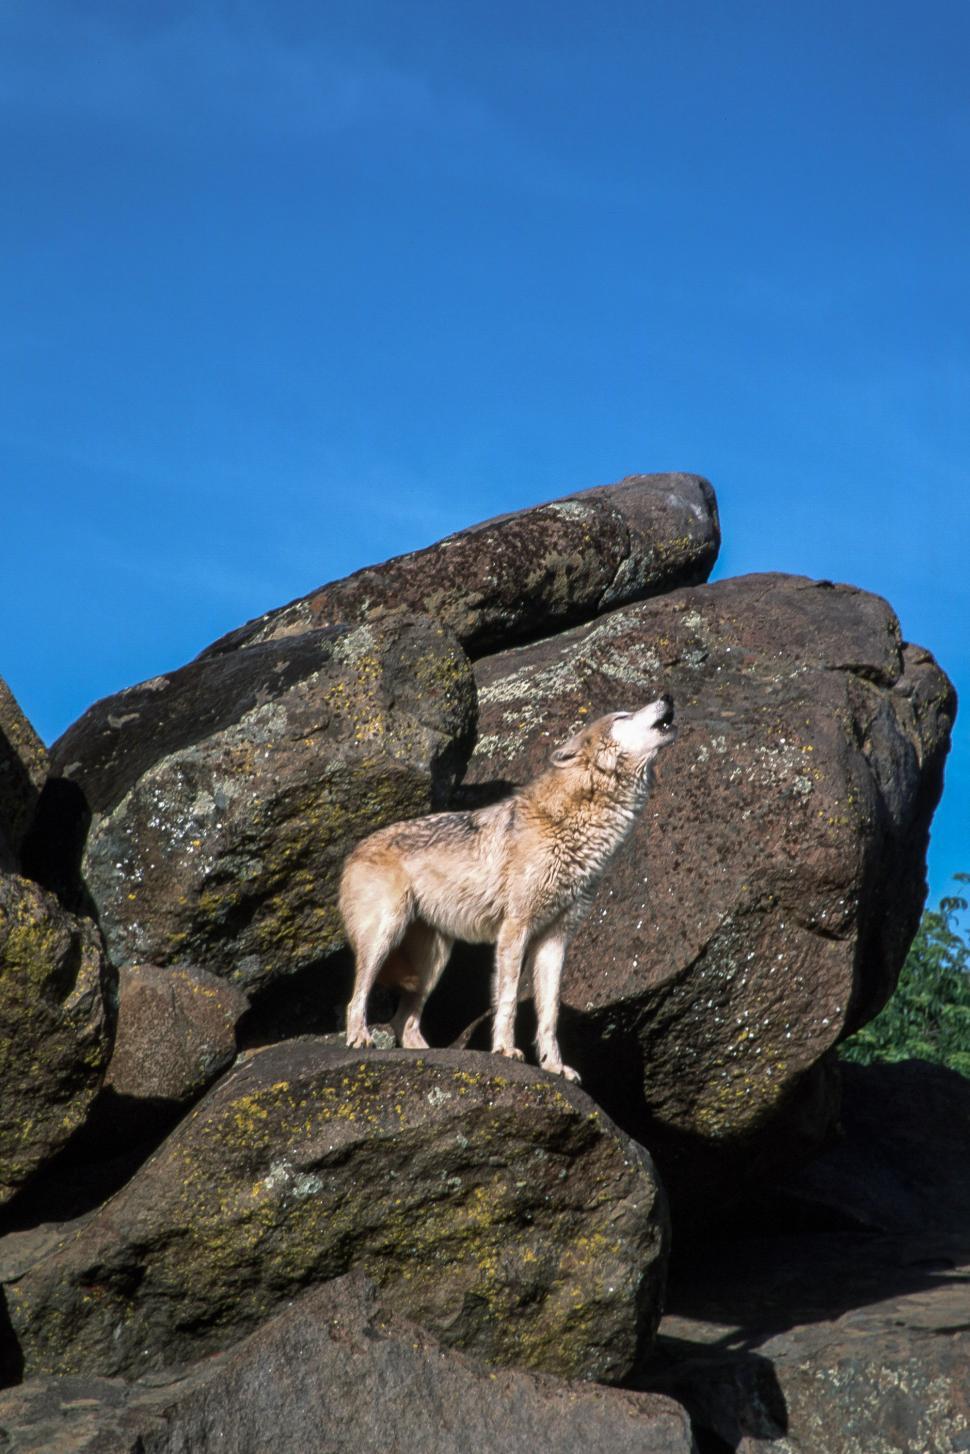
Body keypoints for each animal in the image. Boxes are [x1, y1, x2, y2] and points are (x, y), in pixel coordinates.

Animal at [339, 696, 675, 1081]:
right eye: (622, 716)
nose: (668, 697)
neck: (574, 824)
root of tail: (352, 852)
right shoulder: (515, 928)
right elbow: (509, 999)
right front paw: (504, 1049)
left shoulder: (555, 939)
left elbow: (549, 1016)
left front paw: (555, 1066)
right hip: (385, 936)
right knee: (357, 997)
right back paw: (360, 1039)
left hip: (433, 962)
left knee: (403, 1021)